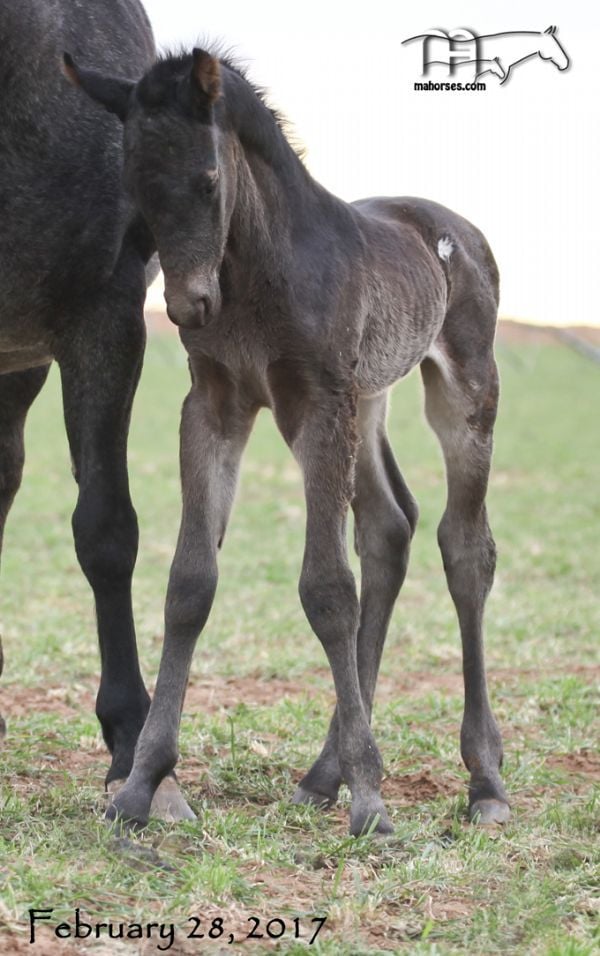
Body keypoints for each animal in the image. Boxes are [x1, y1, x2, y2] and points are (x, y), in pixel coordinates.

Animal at [68, 48, 510, 832]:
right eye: (134, 188)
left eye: (209, 179)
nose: (188, 306)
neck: (255, 273)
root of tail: (457, 226)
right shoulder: (217, 404)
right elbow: (189, 583)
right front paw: (142, 783)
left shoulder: (318, 402)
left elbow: (327, 588)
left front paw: (372, 801)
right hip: (368, 399)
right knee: (389, 527)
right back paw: (323, 773)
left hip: (463, 389)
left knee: (465, 547)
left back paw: (482, 781)